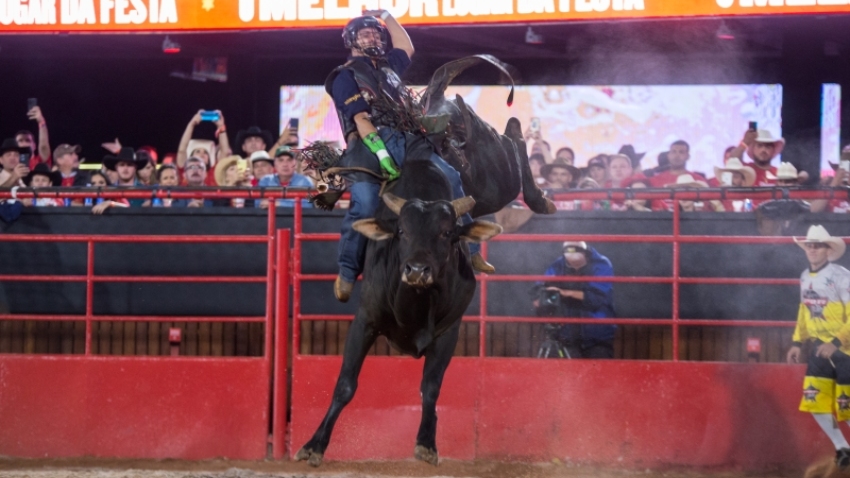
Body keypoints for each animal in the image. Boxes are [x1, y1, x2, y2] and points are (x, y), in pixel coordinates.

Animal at [294, 159, 500, 464]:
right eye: (402, 231)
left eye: (447, 233)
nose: (416, 270)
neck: (418, 302)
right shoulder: (365, 322)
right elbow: (345, 385)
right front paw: (313, 446)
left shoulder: (449, 333)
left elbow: (431, 387)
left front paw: (426, 443)